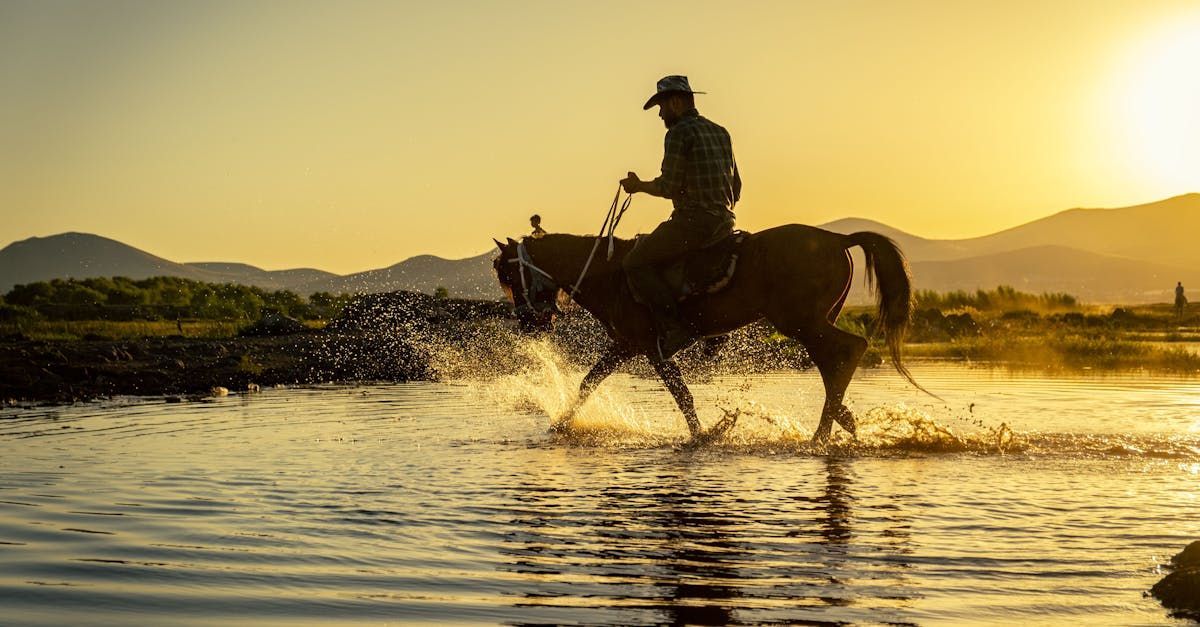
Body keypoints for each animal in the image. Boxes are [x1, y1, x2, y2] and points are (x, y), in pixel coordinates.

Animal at [492, 222, 921, 442]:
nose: (527, 322)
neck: (608, 272)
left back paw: (822, 434)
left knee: (849, 350)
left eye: (508, 274)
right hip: (811, 322)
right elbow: (588, 382)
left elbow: (682, 395)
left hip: (802, 321)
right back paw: (840, 422)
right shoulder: (626, 345)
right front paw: (561, 423)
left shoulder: (649, 346)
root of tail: (838, 238)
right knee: (834, 361)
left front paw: (706, 433)